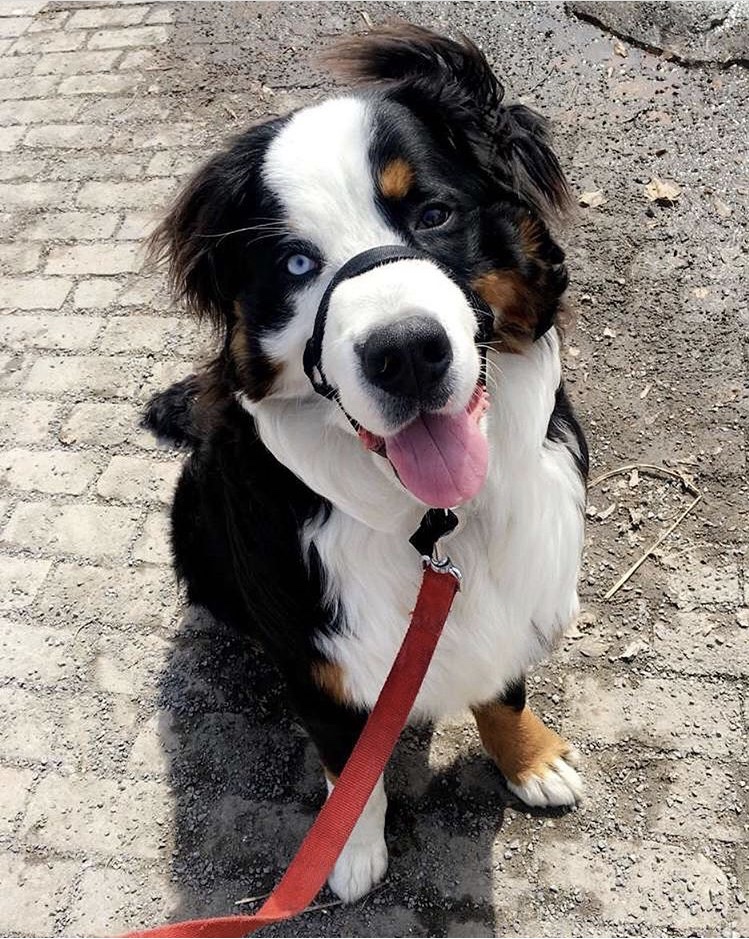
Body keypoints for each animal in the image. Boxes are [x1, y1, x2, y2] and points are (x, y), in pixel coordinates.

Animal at [144, 25, 588, 903]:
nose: (407, 353)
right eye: (294, 264)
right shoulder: (316, 653)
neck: (432, 525)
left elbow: (504, 689)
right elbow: (345, 757)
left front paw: (531, 758)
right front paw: (346, 848)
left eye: (433, 213)